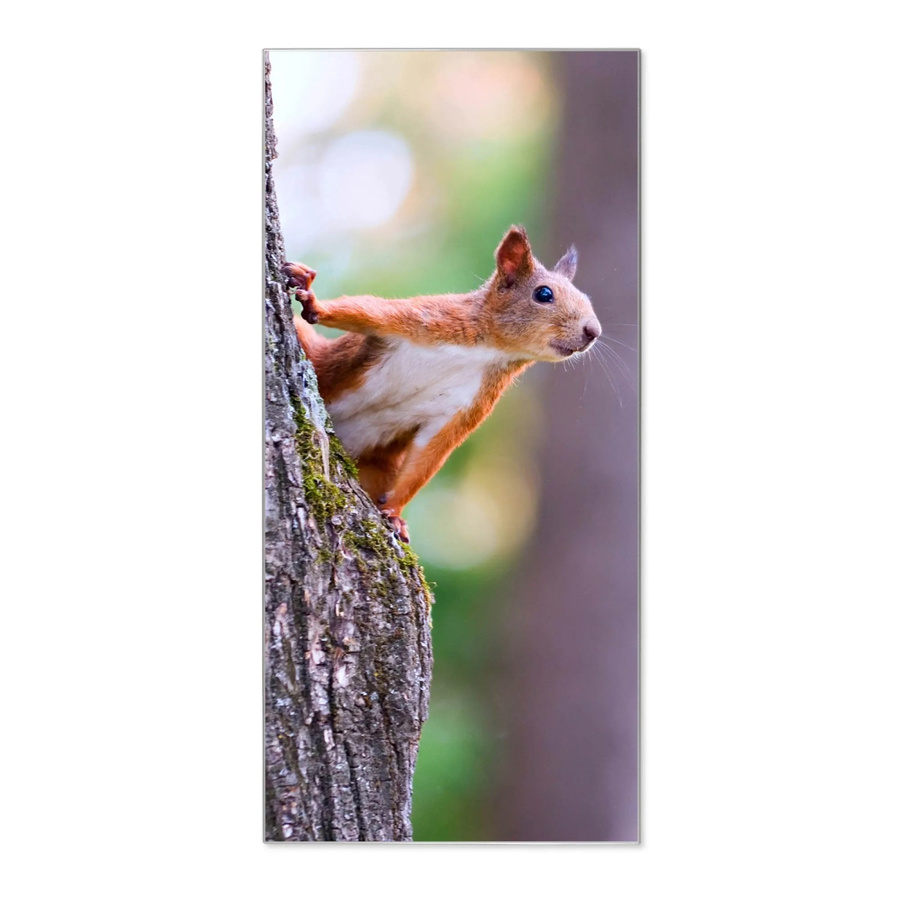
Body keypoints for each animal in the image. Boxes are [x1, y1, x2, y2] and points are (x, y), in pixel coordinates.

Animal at [283, 225, 601, 542]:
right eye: (543, 294)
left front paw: (394, 513)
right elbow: (365, 311)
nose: (593, 331)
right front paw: (314, 303)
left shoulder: (469, 403)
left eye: (586, 298)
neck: (491, 350)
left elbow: (431, 452)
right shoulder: (427, 318)